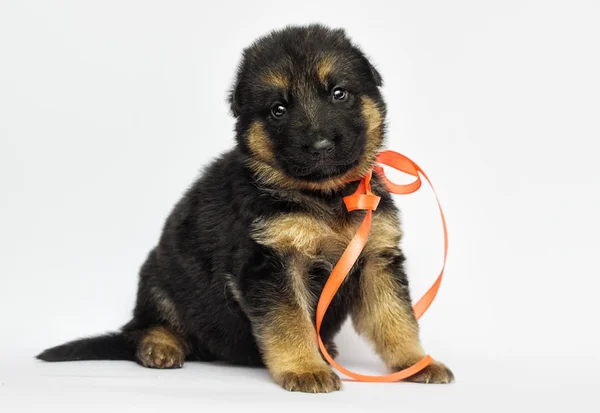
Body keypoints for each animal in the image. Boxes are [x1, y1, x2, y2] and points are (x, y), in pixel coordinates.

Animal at [37, 24, 452, 392]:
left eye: (339, 93)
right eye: (278, 110)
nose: (320, 145)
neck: (324, 196)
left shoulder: (375, 260)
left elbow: (395, 318)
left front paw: (414, 363)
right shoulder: (271, 263)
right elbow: (290, 322)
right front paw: (304, 368)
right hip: (160, 279)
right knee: (142, 329)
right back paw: (161, 345)